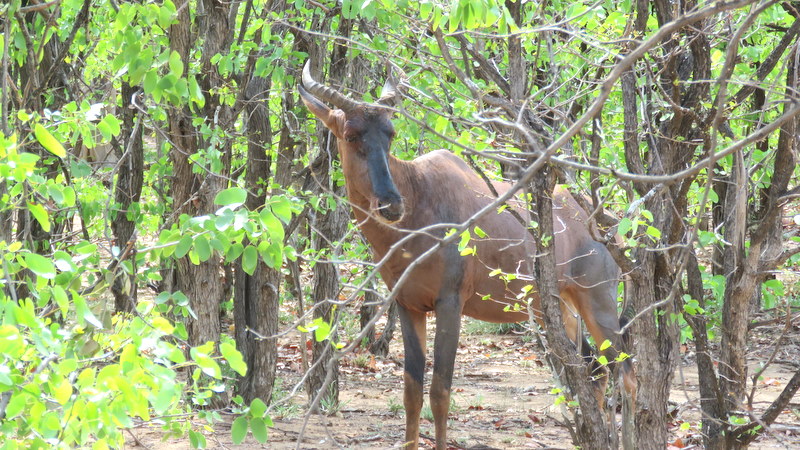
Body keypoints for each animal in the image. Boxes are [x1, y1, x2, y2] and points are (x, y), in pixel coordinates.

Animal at [298, 61, 636, 449]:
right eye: (352, 135)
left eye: (390, 133)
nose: (392, 205)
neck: (420, 189)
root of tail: (604, 225)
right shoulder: (408, 305)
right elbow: (411, 393)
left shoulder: (450, 302)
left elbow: (440, 392)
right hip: (559, 307)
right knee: (593, 370)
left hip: (598, 301)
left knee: (625, 373)